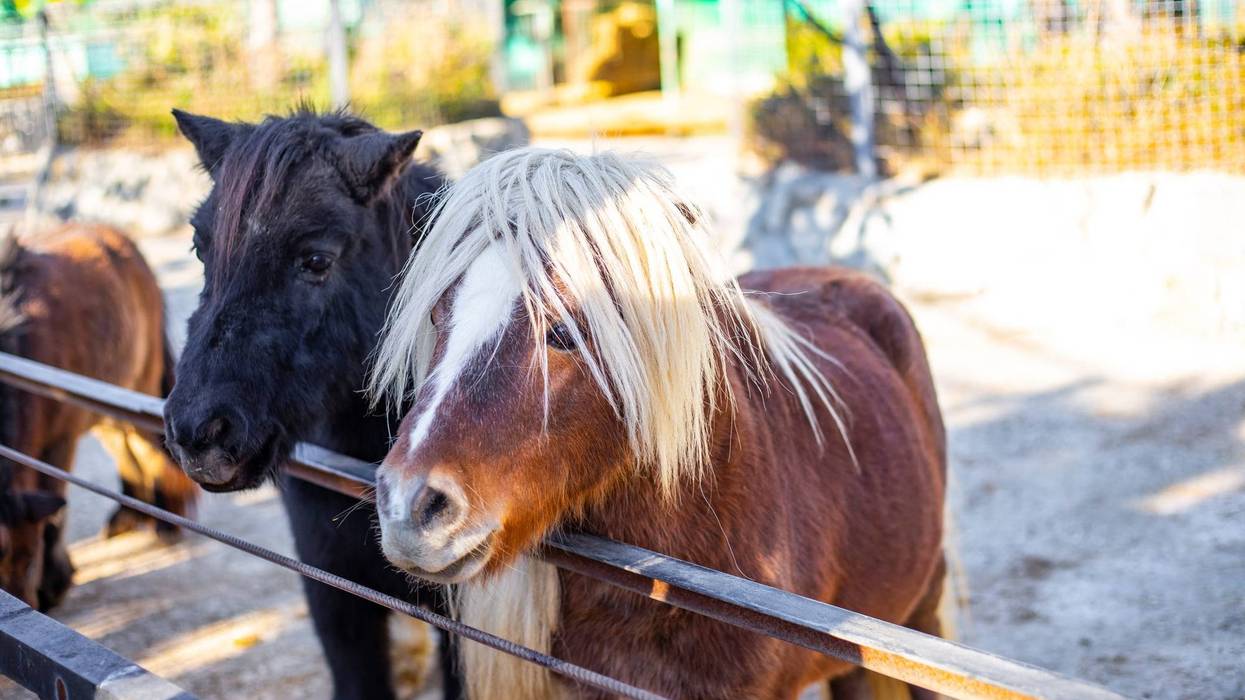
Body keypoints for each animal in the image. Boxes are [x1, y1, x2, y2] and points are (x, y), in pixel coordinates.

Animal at [0, 224, 198, 610]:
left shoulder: (58, 442)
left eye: (29, 562)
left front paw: (55, 583)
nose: (27, 604)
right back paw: (130, 516)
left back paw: (166, 521)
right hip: (106, 412)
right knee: (128, 456)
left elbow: (55, 512)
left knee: (152, 451)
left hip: (138, 389)